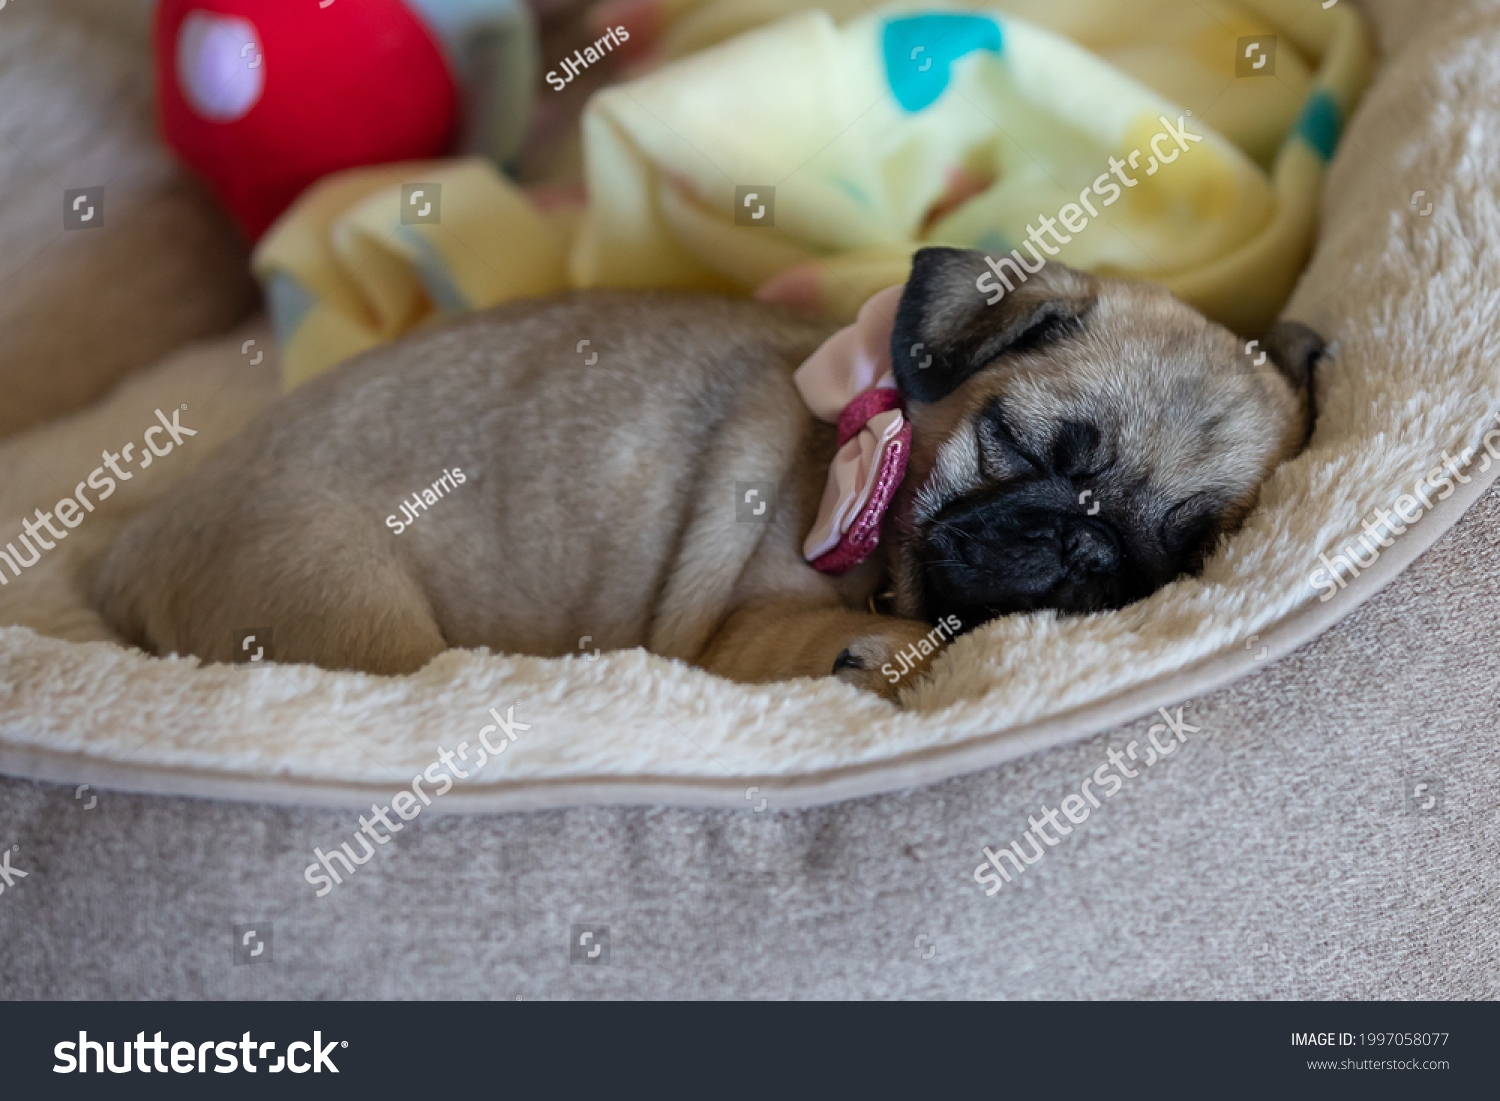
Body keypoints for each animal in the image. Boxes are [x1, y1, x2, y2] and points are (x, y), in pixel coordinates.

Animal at [90, 247, 1326, 699]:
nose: (1083, 542)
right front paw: (884, 655)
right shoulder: (747, 627)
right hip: (350, 605)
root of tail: (134, 540)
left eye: (1183, 549)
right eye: (1020, 450)